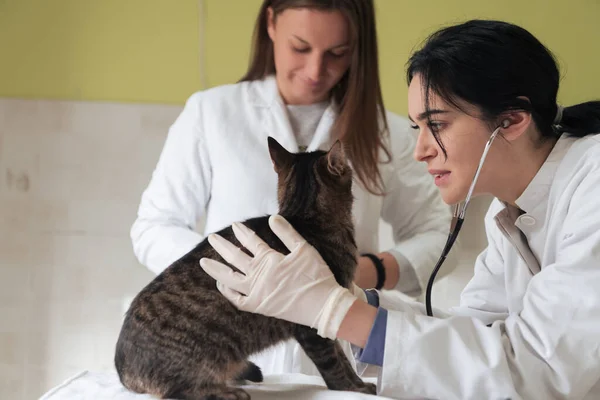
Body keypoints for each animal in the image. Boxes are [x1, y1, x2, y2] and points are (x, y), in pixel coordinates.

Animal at [113, 136, 376, 398]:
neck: (306, 217)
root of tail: (122, 369)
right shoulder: (310, 324)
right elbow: (333, 362)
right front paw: (350, 388)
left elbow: (341, 355)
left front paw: (360, 384)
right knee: (179, 391)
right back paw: (228, 392)